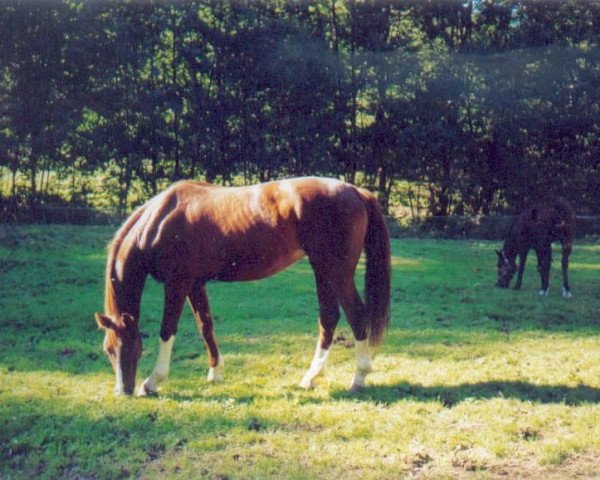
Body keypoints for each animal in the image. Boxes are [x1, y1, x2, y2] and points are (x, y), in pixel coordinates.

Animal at [96, 178, 392, 396]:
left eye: (132, 347)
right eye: (108, 350)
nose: (123, 391)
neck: (159, 221)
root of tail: (357, 191)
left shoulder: (177, 284)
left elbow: (167, 330)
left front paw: (153, 382)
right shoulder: (195, 283)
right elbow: (205, 325)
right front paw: (215, 372)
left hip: (337, 273)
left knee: (356, 316)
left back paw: (359, 379)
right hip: (322, 270)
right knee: (329, 318)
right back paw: (310, 377)